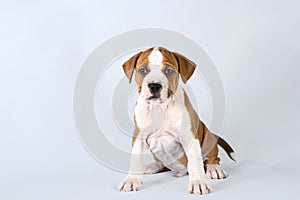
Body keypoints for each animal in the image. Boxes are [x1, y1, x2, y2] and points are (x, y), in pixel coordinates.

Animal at [118, 46, 236, 194]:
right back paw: (150, 166)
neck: (160, 108)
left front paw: (198, 183)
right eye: (143, 70)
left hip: (207, 137)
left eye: (168, 71)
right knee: (163, 164)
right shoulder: (139, 136)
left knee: (212, 158)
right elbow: (135, 158)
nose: (154, 86)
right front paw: (131, 180)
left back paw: (214, 169)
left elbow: (194, 161)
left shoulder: (189, 136)